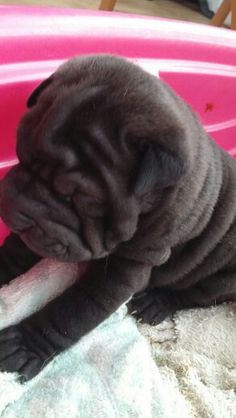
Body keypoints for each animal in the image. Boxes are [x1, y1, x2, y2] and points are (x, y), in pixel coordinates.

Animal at [0, 56, 236, 382]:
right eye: (20, 154)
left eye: (76, 199)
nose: (13, 206)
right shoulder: (41, 232)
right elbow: (14, 253)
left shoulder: (124, 271)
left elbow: (69, 314)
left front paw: (23, 346)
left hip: (221, 276)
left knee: (196, 295)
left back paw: (155, 303)